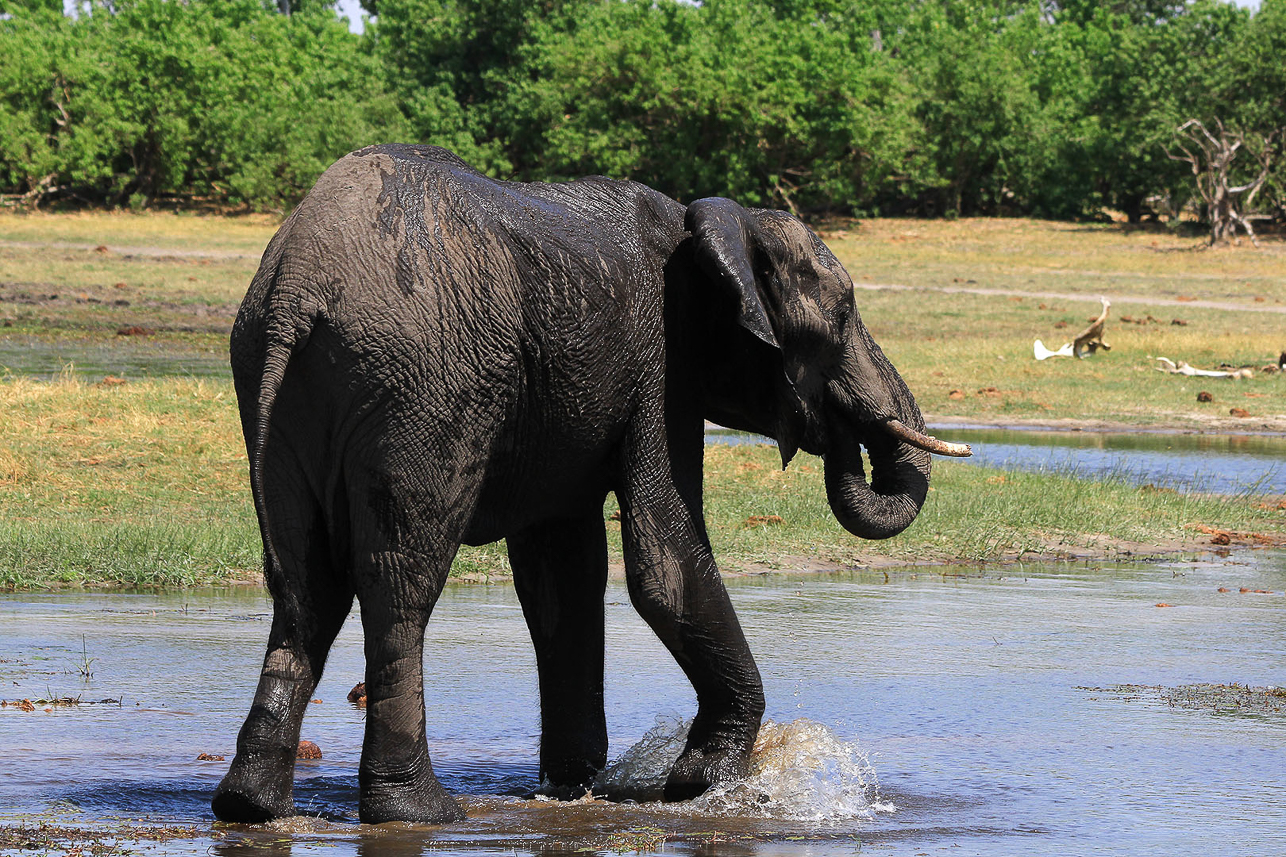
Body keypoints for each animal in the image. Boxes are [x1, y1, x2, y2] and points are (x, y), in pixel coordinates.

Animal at [210, 143, 967, 823]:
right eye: (840, 315)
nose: (839, 431)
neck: (718, 224)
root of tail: (299, 284)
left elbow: (561, 575)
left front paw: (574, 787)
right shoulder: (662, 360)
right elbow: (663, 561)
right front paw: (699, 782)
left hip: (276, 388)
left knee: (305, 585)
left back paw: (250, 807)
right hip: (421, 387)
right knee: (401, 580)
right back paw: (419, 812)